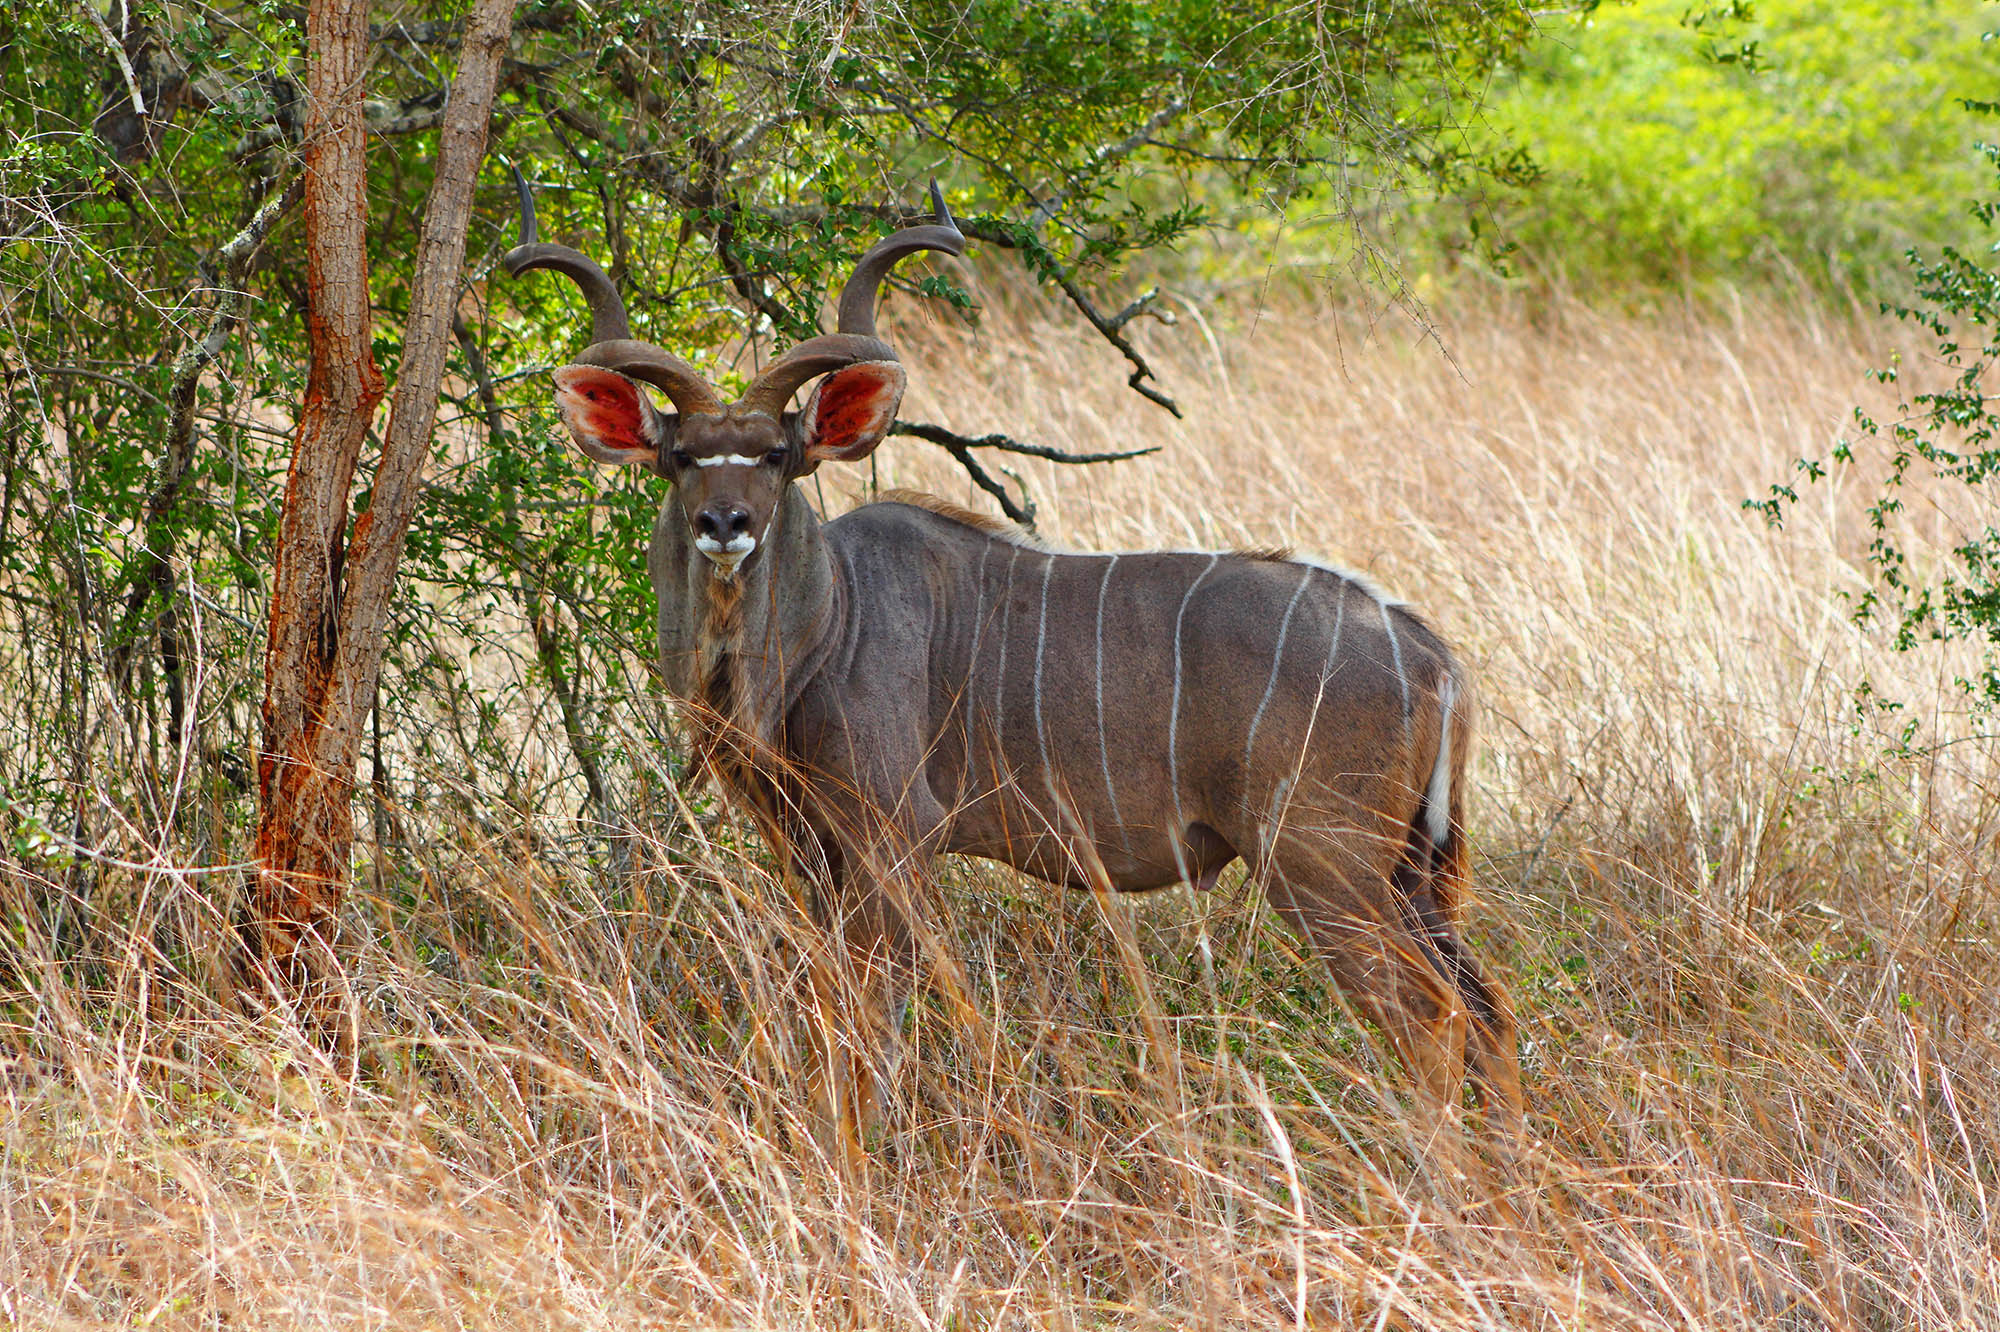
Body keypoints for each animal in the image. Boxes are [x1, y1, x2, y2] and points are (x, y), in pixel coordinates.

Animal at [508, 179, 1520, 1144]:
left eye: (775, 456)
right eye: (683, 456)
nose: (727, 524)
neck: (825, 627)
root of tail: (1432, 656)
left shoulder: (894, 837)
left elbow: (881, 1015)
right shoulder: (811, 853)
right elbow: (831, 1009)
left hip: (1320, 864)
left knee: (1431, 1014)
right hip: (1409, 874)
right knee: (1489, 1008)